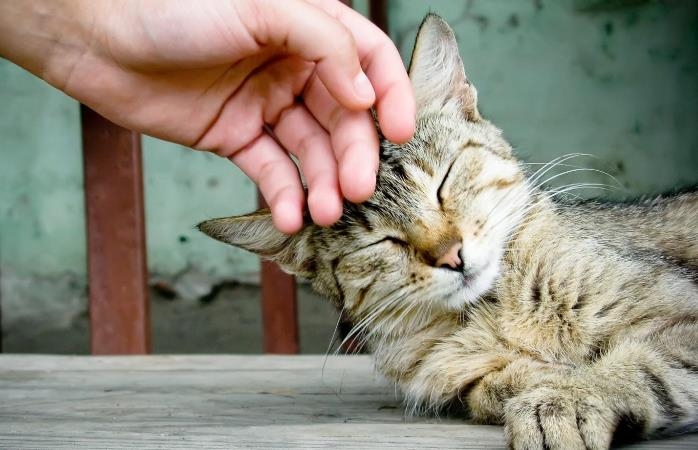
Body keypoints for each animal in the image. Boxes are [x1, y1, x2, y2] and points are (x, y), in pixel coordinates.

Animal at [197, 13, 696, 450]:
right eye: (383, 241)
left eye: (443, 183)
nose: (451, 255)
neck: (492, 312)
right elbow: (488, 387)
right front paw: (534, 381)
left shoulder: (682, 316)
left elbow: (639, 365)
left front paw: (568, 399)